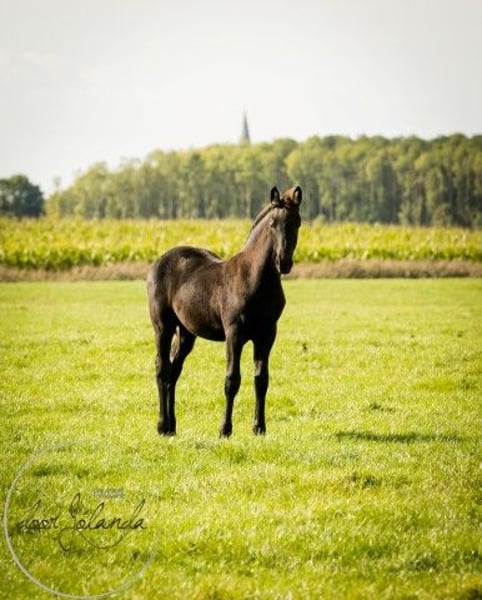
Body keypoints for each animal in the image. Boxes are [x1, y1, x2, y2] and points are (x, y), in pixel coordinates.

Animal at [147, 185, 302, 437]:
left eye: (297, 222)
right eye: (272, 223)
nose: (283, 262)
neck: (255, 278)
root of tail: (159, 261)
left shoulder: (267, 334)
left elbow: (261, 379)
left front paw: (259, 427)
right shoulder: (234, 333)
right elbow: (232, 380)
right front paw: (225, 430)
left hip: (186, 332)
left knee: (174, 370)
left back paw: (172, 427)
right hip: (163, 326)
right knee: (162, 368)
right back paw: (162, 426)